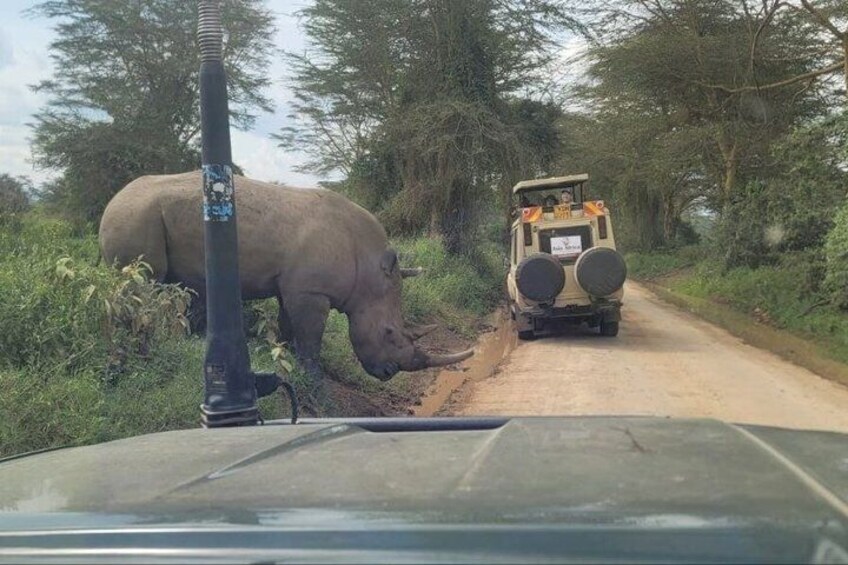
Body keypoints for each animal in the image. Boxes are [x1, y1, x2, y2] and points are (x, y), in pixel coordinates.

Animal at [98, 171, 473, 380]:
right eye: (390, 333)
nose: (388, 374)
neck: (368, 265)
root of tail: (114, 198)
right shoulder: (311, 292)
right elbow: (310, 337)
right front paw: (314, 377)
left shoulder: (293, 286)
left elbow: (287, 326)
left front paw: (287, 359)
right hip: (135, 215)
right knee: (144, 286)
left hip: (138, 213)